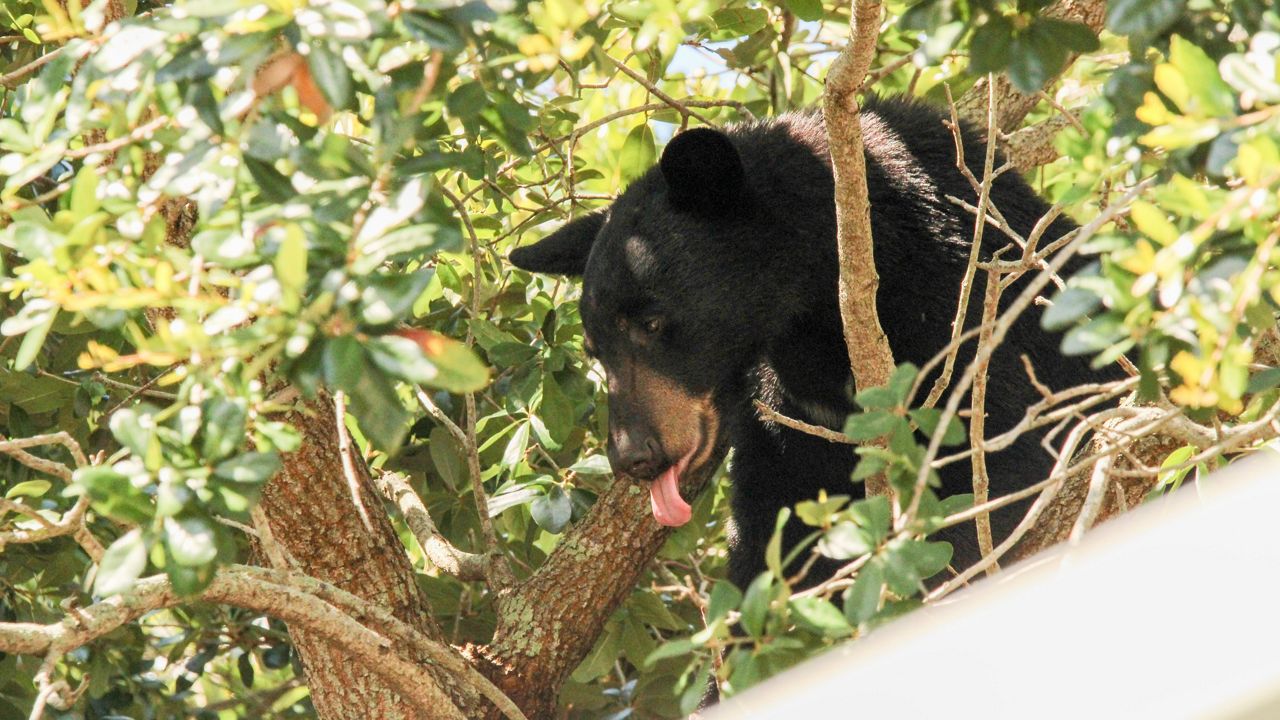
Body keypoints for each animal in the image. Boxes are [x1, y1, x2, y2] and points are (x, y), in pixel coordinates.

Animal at [509, 95, 1112, 593]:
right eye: (595, 350)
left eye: (652, 322)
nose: (633, 456)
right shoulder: (785, 412)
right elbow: (774, 525)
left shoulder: (967, 307)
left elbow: (1002, 456)